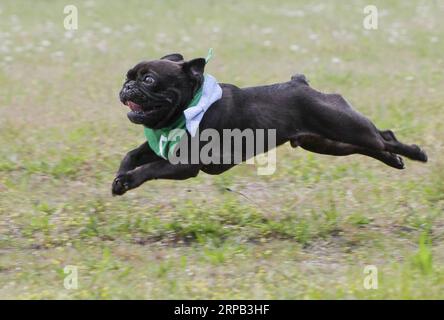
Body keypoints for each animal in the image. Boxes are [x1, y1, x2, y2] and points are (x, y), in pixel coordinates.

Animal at [112, 53, 428, 195]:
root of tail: (303, 85)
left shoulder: (185, 164)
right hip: (327, 142)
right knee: (373, 145)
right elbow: (133, 155)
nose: (126, 86)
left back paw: (416, 153)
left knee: (383, 137)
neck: (188, 107)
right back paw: (395, 161)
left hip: (346, 126)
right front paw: (121, 176)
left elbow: (150, 168)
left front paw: (127, 181)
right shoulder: (163, 146)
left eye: (148, 80)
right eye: (128, 76)